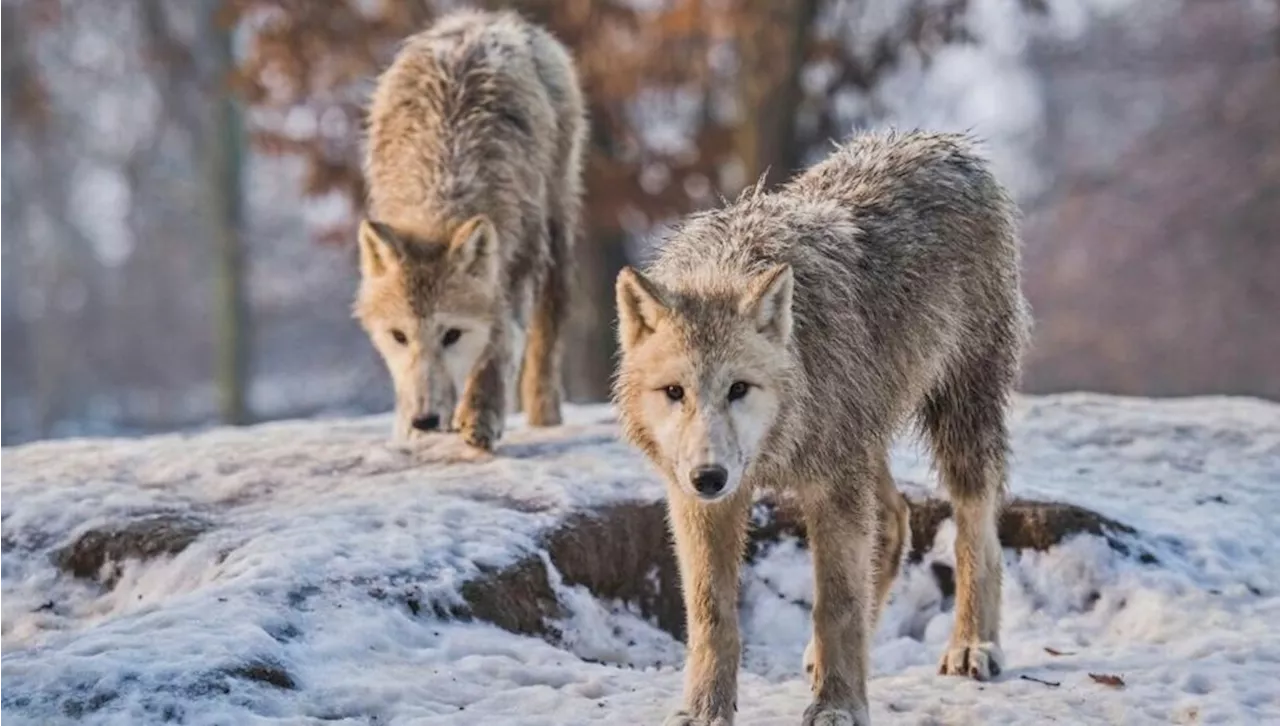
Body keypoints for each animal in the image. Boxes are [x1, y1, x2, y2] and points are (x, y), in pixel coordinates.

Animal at [353, 9, 586, 448]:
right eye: (399, 336)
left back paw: (544, 416)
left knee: (548, 335)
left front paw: (480, 414)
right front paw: (405, 429)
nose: (425, 420)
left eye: (452, 335)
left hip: (557, 232)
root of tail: (491, 19)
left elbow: (500, 345)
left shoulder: (519, 259)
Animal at [609, 130, 1029, 726]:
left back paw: (973, 645)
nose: (710, 477)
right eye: (675, 393)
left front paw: (839, 705)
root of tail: (943, 143)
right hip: (865, 440)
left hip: (958, 420)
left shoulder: (832, 486)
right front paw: (704, 709)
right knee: (896, 519)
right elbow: (712, 614)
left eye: (739, 389)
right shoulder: (697, 497)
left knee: (978, 529)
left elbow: (836, 603)